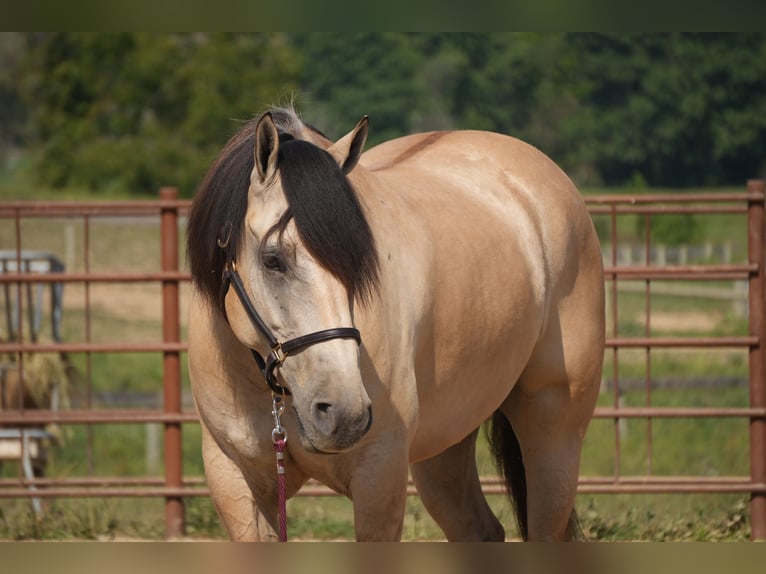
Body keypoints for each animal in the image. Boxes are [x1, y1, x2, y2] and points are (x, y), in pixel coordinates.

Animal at [186, 106, 605, 541]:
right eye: (273, 260)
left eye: (359, 264)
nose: (345, 413)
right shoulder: (233, 478)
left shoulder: (379, 475)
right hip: (445, 445)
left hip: (554, 431)